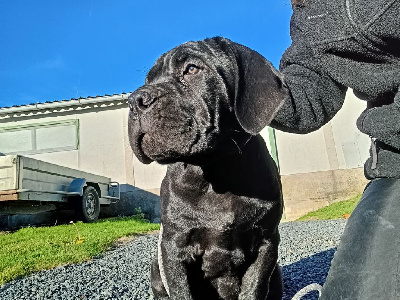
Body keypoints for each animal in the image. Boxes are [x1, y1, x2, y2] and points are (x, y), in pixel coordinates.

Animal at [126, 37, 286, 300]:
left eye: (192, 69)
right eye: (148, 81)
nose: (135, 101)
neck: (215, 172)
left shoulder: (266, 242)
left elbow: (253, 289)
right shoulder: (174, 248)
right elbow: (181, 292)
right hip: (156, 268)